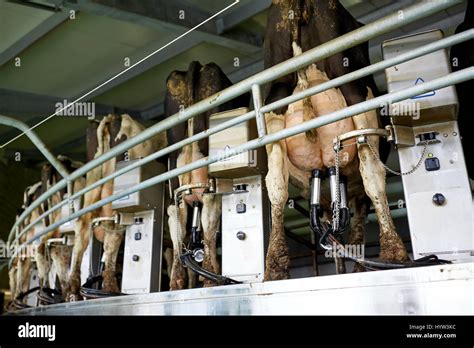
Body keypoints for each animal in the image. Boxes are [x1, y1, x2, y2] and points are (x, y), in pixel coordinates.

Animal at [165, 61, 250, 290]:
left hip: (177, 182)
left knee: (176, 216)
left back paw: (177, 280)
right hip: (210, 182)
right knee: (210, 215)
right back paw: (211, 276)